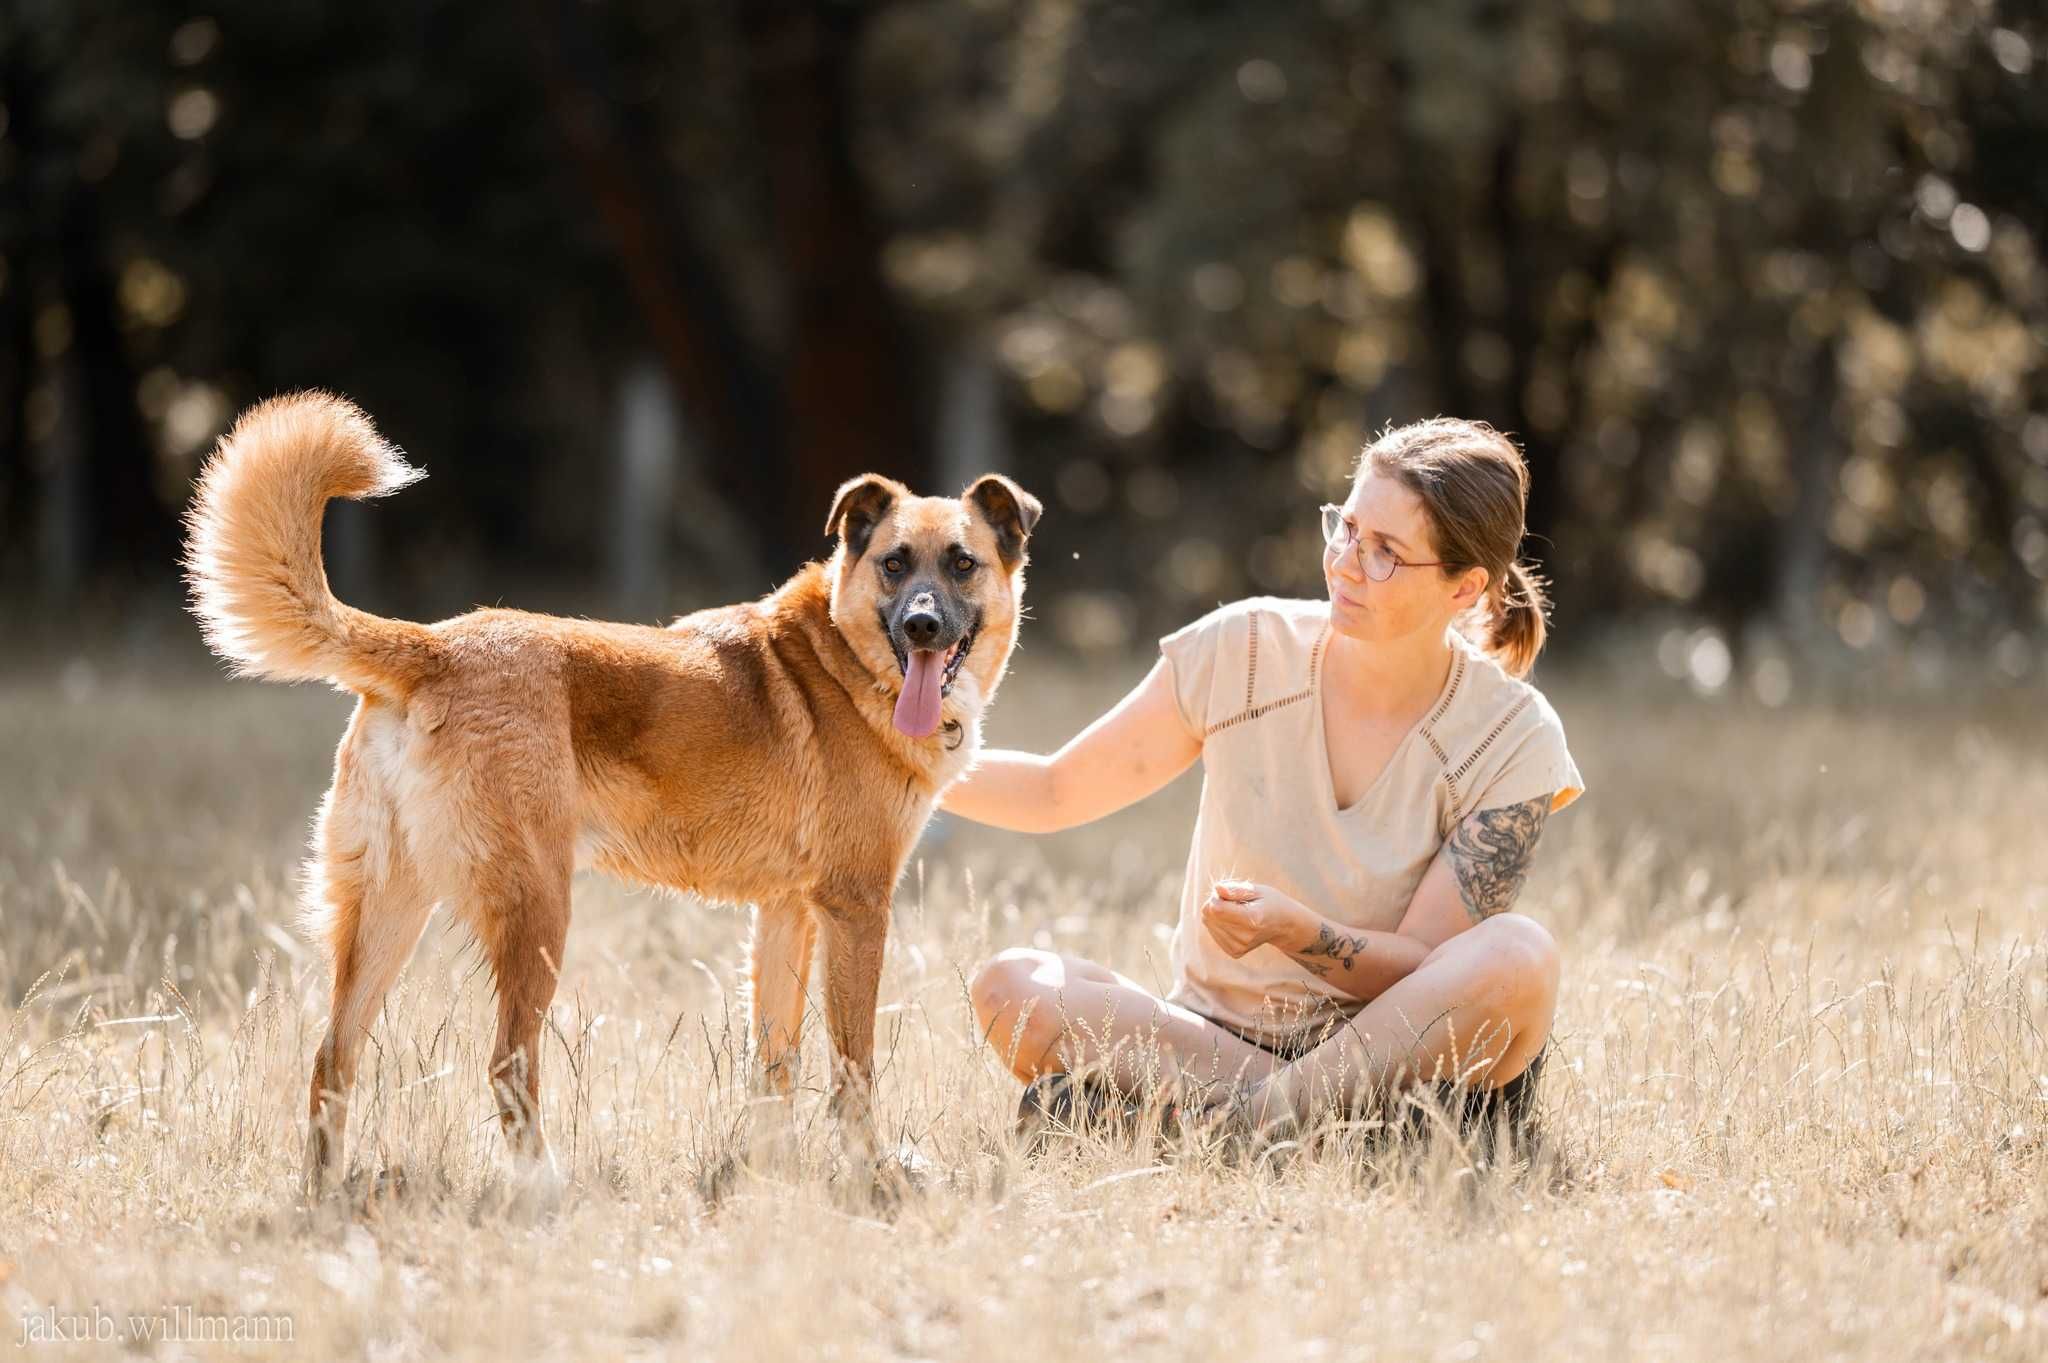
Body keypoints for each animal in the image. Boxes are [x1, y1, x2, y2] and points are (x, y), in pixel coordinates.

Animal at [178, 390, 1040, 1186]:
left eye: (961, 563)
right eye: (895, 564)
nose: (924, 626)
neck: (845, 659)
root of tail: (433, 646)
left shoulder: (786, 912)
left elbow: (774, 1064)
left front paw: (769, 1175)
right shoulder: (856, 907)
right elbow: (854, 1066)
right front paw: (870, 1173)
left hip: (390, 908)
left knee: (333, 1058)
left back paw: (325, 1198)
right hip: (537, 909)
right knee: (507, 1063)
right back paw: (545, 1188)